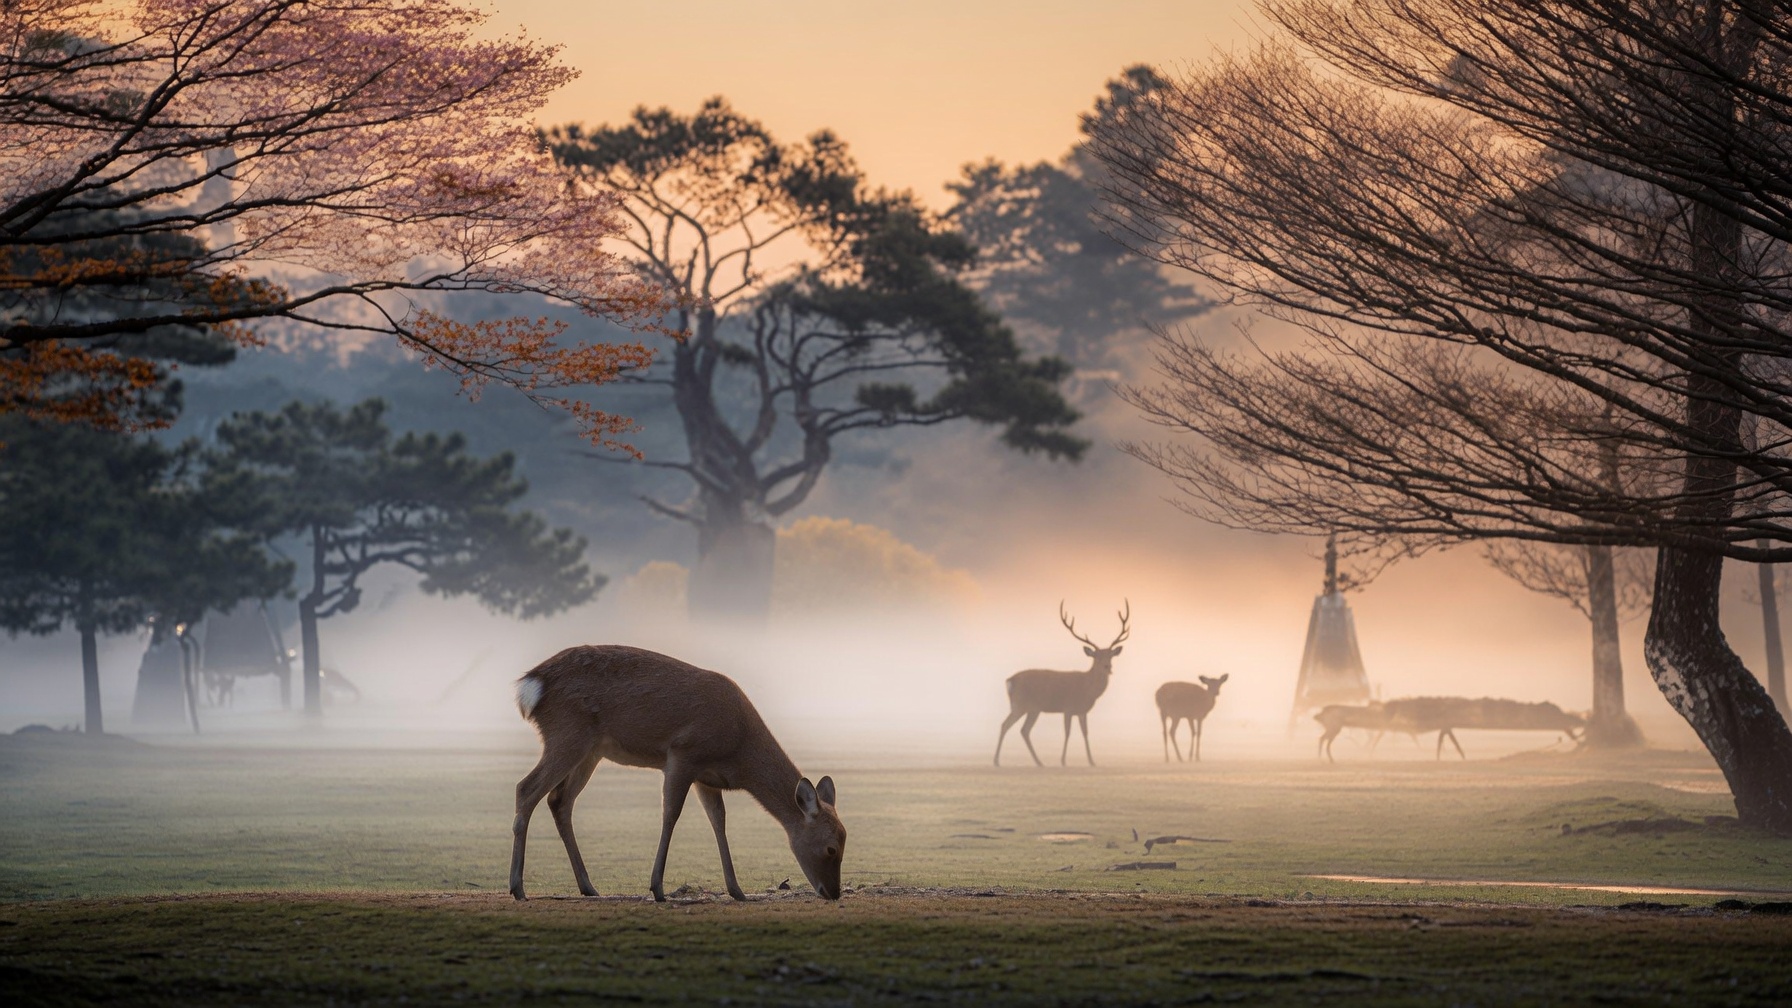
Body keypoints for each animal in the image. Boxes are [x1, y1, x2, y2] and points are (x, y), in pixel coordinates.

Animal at [508, 644, 846, 903]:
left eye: (845, 840)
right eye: (831, 848)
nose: (833, 893)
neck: (739, 753)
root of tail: (530, 685)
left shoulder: (707, 778)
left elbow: (718, 821)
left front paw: (737, 891)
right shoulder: (683, 754)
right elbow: (671, 813)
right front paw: (657, 888)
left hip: (590, 751)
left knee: (559, 801)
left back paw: (588, 887)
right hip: (568, 734)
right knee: (526, 788)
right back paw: (518, 888)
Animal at [994, 600, 1130, 767]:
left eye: (1111, 656)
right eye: (1096, 656)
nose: (1107, 667)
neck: (1088, 689)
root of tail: (1010, 680)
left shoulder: (1082, 711)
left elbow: (1085, 733)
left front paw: (1092, 761)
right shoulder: (1068, 708)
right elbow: (1067, 733)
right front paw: (1063, 761)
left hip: (1032, 708)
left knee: (1023, 730)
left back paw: (1039, 762)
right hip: (1021, 704)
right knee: (1007, 725)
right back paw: (997, 761)